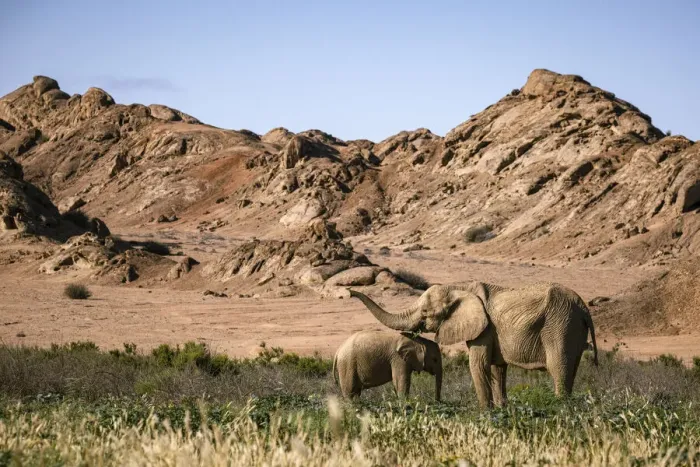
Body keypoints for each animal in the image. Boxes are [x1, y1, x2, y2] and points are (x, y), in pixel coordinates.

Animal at [349, 281, 598, 408]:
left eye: (426, 312)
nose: (350, 292)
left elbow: (478, 365)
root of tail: (584, 309)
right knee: (570, 369)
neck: (459, 287)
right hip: (572, 327)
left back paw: (561, 408)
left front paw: (486, 413)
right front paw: (501, 409)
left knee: (559, 369)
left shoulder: (484, 329)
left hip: (561, 325)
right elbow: (498, 370)